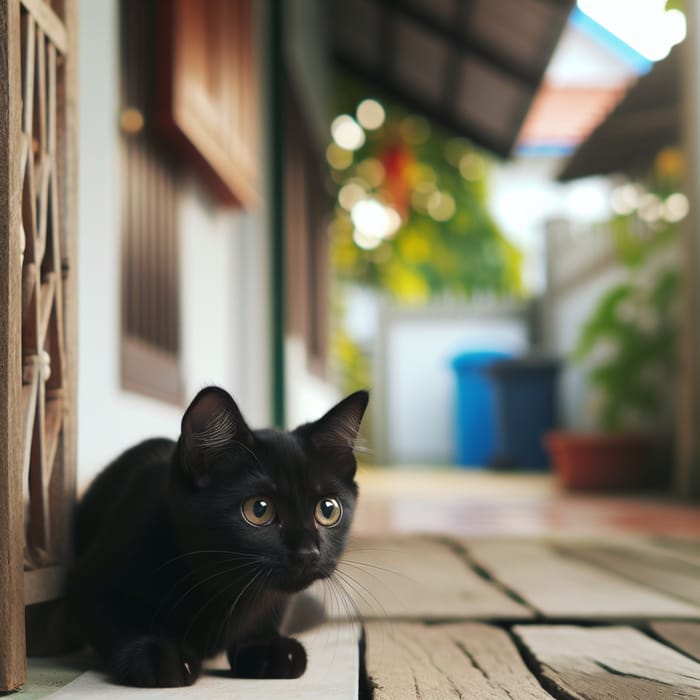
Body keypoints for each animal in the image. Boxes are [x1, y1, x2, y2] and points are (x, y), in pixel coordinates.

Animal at [67, 386, 370, 688]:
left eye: (328, 510)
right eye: (259, 509)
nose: (308, 553)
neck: (225, 588)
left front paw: (266, 647)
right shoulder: (92, 576)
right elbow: (115, 616)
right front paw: (157, 652)